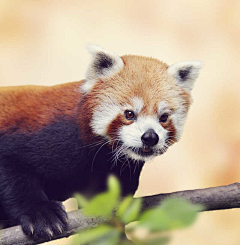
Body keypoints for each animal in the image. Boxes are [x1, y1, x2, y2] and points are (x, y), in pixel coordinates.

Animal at [0, 44, 203, 241]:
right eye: (129, 114)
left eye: (164, 117)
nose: (150, 137)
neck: (100, 156)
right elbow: (12, 172)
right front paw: (41, 214)